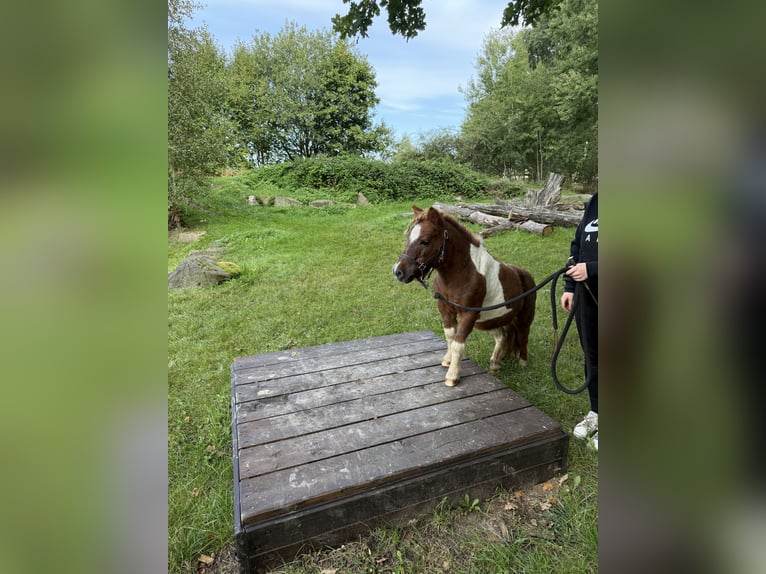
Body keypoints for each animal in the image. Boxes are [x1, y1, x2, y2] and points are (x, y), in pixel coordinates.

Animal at [392, 205, 537, 386]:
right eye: (408, 237)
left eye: (425, 241)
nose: (398, 271)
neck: (464, 273)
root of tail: (526, 276)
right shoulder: (445, 309)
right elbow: (450, 336)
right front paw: (447, 361)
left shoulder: (468, 314)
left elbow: (458, 343)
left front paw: (452, 376)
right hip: (495, 318)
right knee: (502, 336)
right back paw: (495, 364)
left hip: (524, 318)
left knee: (523, 337)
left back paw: (522, 363)